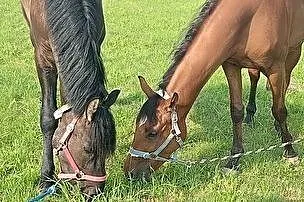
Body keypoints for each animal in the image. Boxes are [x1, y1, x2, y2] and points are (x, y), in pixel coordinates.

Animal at [20, 0, 119, 197]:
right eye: (88, 149)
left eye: (108, 149)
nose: (94, 192)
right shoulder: (43, 59)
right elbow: (48, 119)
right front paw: (46, 178)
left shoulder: (95, 43)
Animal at [124, 0, 304, 180]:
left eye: (152, 133)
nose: (129, 172)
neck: (252, 17)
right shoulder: (231, 65)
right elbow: (236, 112)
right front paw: (233, 160)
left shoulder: (275, 68)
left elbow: (279, 110)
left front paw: (290, 151)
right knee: (254, 76)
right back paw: (251, 116)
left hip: (294, 51)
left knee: (285, 82)